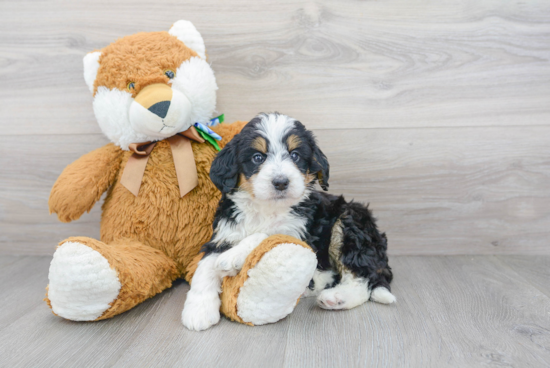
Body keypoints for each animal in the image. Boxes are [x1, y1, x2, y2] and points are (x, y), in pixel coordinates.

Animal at [183, 112, 394, 330]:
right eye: (258, 157)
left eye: (295, 156)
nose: (281, 182)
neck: (266, 208)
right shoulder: (224, 234)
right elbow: (204, 267)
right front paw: (198, 310)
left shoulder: (298, 233)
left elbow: (266, 235)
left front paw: (232, 257)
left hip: (349, 223)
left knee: (362, 279)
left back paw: (336, 297)